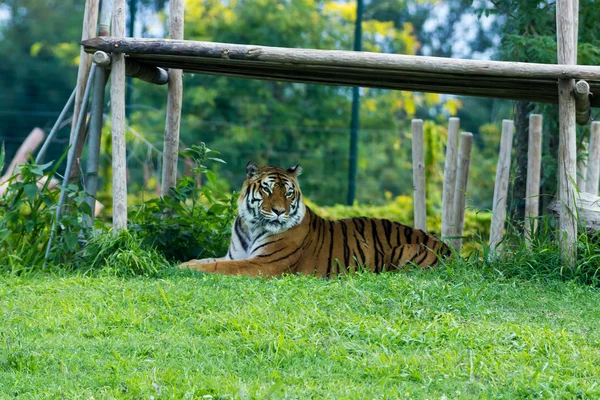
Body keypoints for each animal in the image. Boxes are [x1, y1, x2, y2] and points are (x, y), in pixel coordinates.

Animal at [180, 161, 452, 276]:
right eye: (267, 189)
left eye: (288, 193)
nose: (279, 211)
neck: (252, 225)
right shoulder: (235, 255)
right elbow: (208, 259)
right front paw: (185, 263)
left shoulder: (264, 263)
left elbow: (218, 267)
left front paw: (186, 268)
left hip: (404, 252)